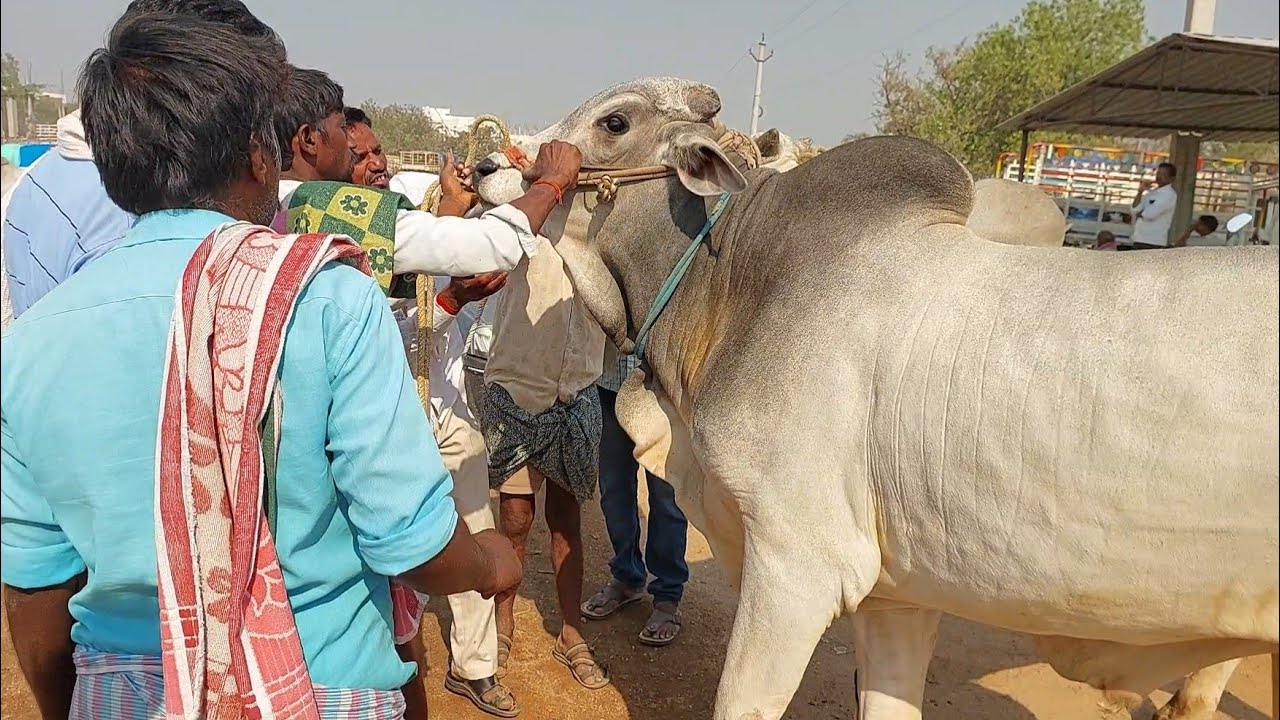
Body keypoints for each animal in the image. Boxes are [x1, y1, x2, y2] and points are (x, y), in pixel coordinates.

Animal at [472, 77, 1279, 720]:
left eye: (614, 122)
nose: (483, 166)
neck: (732, 281)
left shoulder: (799, 561)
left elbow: (743, 700)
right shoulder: (898, 595)